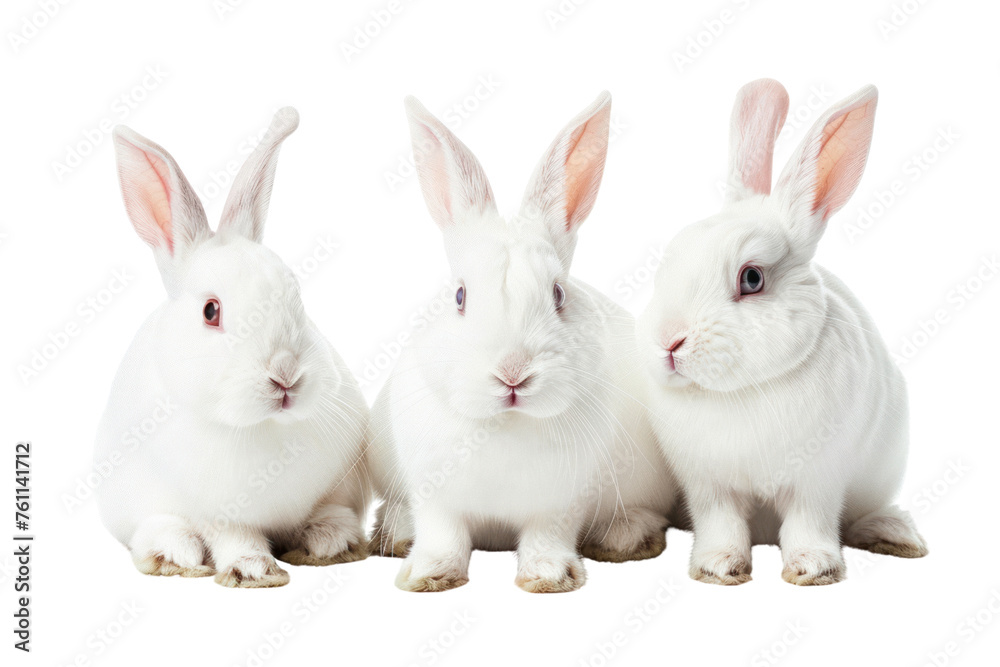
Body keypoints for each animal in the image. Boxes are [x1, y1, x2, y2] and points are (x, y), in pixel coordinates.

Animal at [94, 108, 371, 588]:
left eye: (296, 295)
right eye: (211, 311)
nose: (285, 373)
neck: (259, 427)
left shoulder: (339, 485)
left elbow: (328, 512)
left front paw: (331, 544)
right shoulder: (219, 515)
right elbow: (235, 537)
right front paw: (254, 569)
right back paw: (174, 555)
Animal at [367, 92, 677, 594]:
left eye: (559, 294)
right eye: (459, 296)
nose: (512, 373)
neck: (504, 426)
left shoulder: (561, 503)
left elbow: (546, 536)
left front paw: (549, 576)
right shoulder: (434, 496)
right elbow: (443, 534)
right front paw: (430, 573)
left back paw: (625, 536)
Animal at [637, 79, 928, 586]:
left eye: (751, 278)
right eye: (669, 260)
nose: (668, 340)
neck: (740, 393)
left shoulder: (819, 478)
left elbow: (810, 521)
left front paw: (813, 568)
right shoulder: (707, 485)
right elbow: (721, 523)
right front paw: (718, 566)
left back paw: (893, 531)